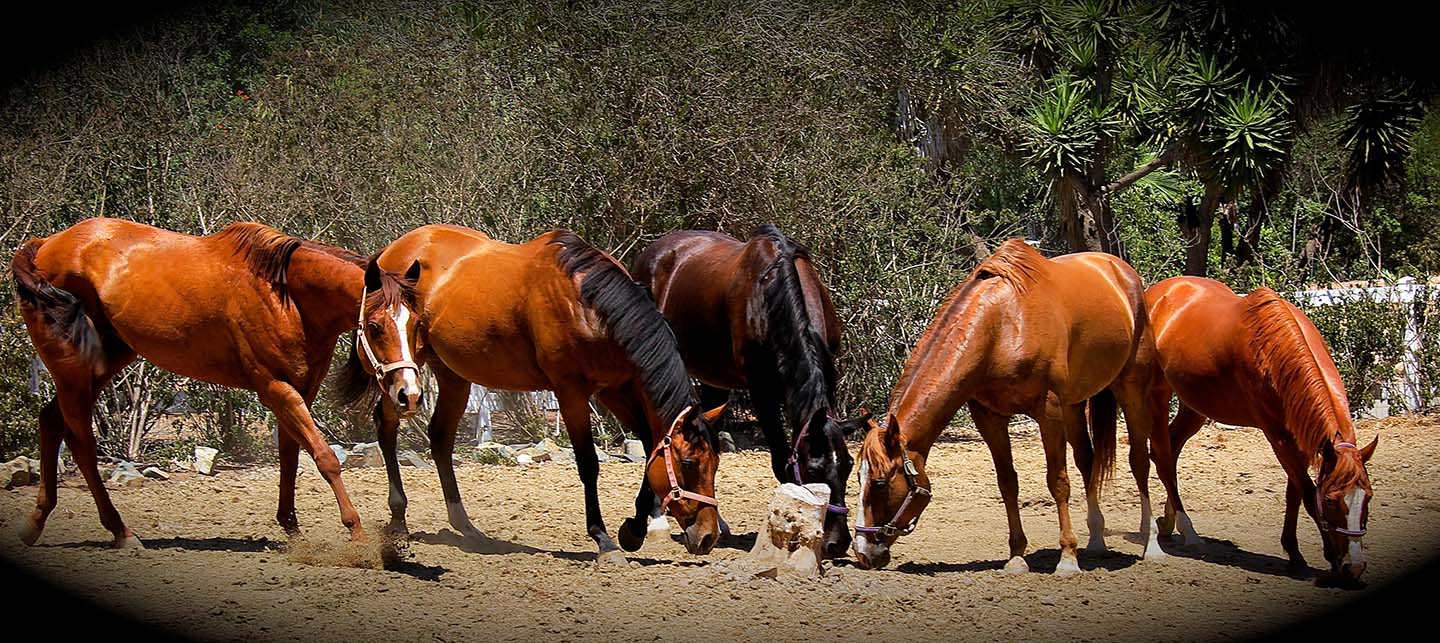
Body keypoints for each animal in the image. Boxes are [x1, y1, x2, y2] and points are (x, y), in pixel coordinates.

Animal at [9, 217, 416, 547]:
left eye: (415, 324)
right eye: (375, 326)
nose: (408, 395)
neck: (285, 296)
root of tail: (45, 244)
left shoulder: (299, 390)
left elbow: (290, 457)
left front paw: (290, 528)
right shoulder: (276, 389)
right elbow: (325, 457)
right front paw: (356, 533)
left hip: (102, 362)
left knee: (51, 422)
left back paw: (36, 523)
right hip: (72, 370)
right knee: (82, 444)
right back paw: (120, 531)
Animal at [336, 224, 724, 563]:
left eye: (715, 464)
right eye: (688, 464)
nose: (708, 537)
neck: (588, 304)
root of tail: (393, 250)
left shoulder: (615, 388)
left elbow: (648, 447)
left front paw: (635, 529)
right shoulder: (571, 391)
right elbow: (588, 463)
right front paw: (603, 540)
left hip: (452, 376)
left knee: (440, 438)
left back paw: (468, 528)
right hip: (400, 375)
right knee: (387, 427)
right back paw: (399, 520)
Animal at [632, 224, 870, 559]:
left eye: (848, 466)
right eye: (813, 470)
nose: (837, 543)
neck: (773, 298)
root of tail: (656, 250)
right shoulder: (762, 392)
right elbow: (782, 465)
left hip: (714, 380)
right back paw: (655, 522)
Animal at [852, 239, 1170, 573]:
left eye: (879, 483)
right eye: (858, 478)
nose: (862, 552)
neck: (1002, 325)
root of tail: (1121, 272)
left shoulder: (1048, 411)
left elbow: (1057, 481)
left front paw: (1067, 558)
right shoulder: (989, 416)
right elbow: (1007, 482)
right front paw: (1017, 556)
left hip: (1131, 388)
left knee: (1139, 461)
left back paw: (1151, 545)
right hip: (1074, 404)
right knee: (1087, 460)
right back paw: (1096, 541)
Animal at [1145, 276, 1378, 583]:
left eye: (1368, 497)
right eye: (1330, 500)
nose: (1355, 567)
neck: (1274, 349)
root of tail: (1155, 294)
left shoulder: (1301, 436)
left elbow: (1294, 492)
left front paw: (1294, 554)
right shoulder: (1278, 437)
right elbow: (1306, 493)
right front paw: (1323, 558)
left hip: (1194, 407)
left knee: (1171, 452)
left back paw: (1168, 523)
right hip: (1158, 397)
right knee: (1161, 457)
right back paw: (1188, 530)